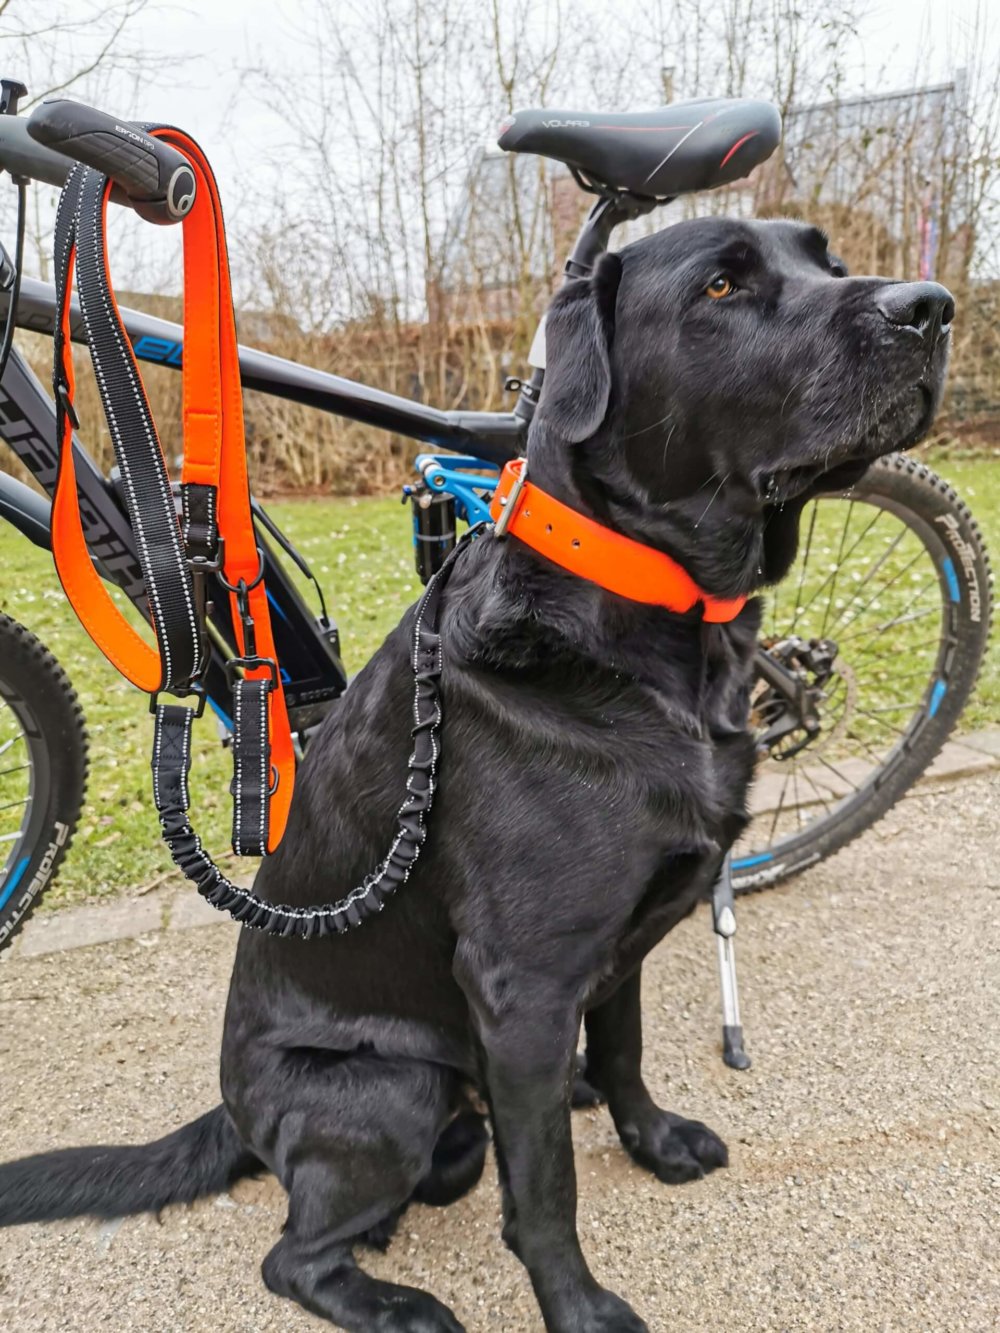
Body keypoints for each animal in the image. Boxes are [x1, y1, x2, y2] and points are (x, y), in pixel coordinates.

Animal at [0, 215, 954, 1322]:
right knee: (294, 1256)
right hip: (393, 1087)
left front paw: (653, 1138)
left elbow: (625, 1051)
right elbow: (544, 1186)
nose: (932, 307)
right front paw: (578, 1307)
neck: (648, 626)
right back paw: (396, 1302)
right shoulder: (523, 985)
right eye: (721, 286)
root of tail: (232, 1113)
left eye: (828, 262)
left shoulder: (615, 949)